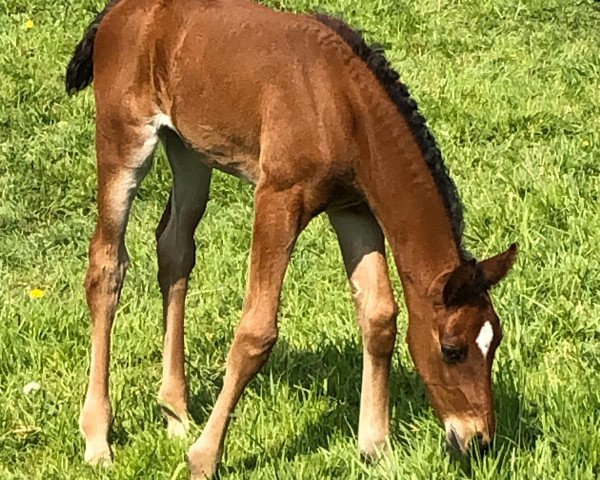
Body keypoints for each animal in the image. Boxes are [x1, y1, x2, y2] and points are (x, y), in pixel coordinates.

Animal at [64, 0, 516, 476]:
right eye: (452, 350)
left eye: (495, 341)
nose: (478, 440)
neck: (342, 103)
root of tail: (115, 12)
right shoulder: (278, 196)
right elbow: (256, 331)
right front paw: (205, 458)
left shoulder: (352, 209)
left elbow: (379, 315)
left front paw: (376, 447)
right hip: (123, 136)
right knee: (107, 265)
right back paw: (98, 438)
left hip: (190, 151)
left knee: (174, 249)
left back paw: (176, 414)